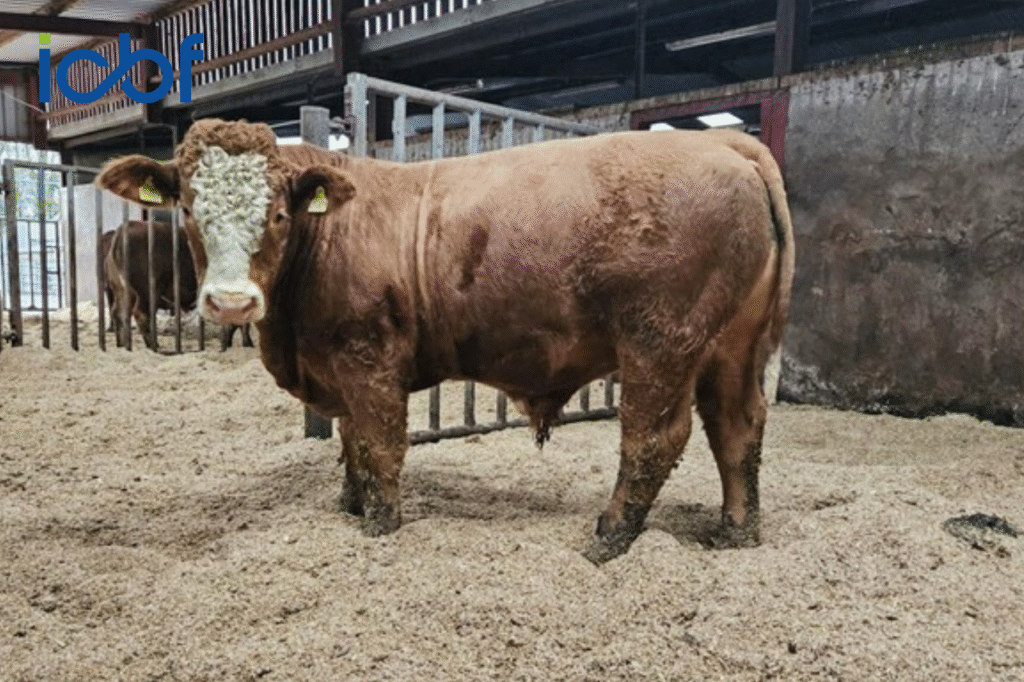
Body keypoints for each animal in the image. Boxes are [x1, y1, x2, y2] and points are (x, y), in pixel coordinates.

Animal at [101, 219, 253, 352]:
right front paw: (245, 343)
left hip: (121, 291)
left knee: (118, 312)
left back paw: (122, 343)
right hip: (145, 293)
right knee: (140, 315)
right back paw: (153, 345)